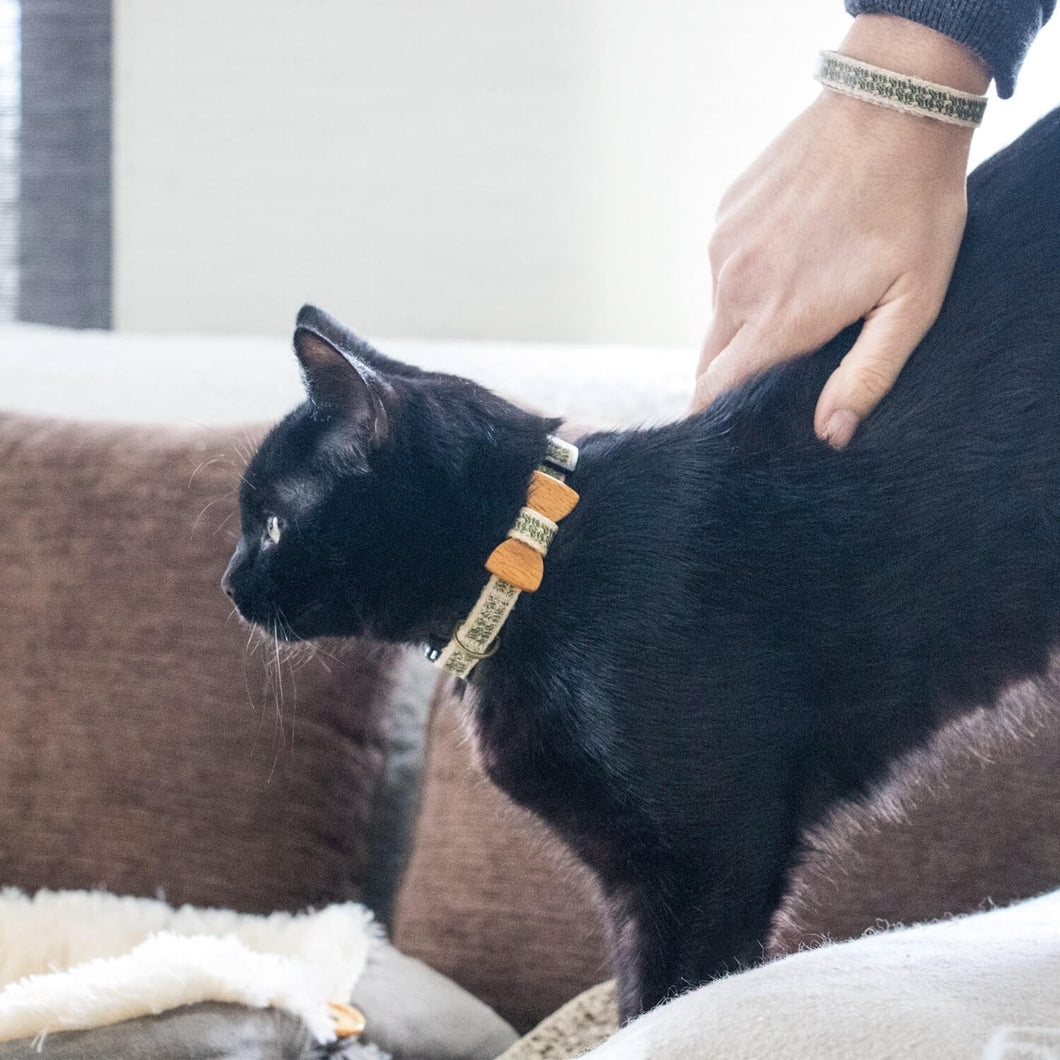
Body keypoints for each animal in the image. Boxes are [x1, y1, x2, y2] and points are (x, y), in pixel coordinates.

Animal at [221, 107, 1060, 1017]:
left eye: (272, 524)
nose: (228, 584)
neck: (539, 575)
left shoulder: (710, 856)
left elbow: (674, 1002)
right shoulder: (631, 878)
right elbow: (633, 999)